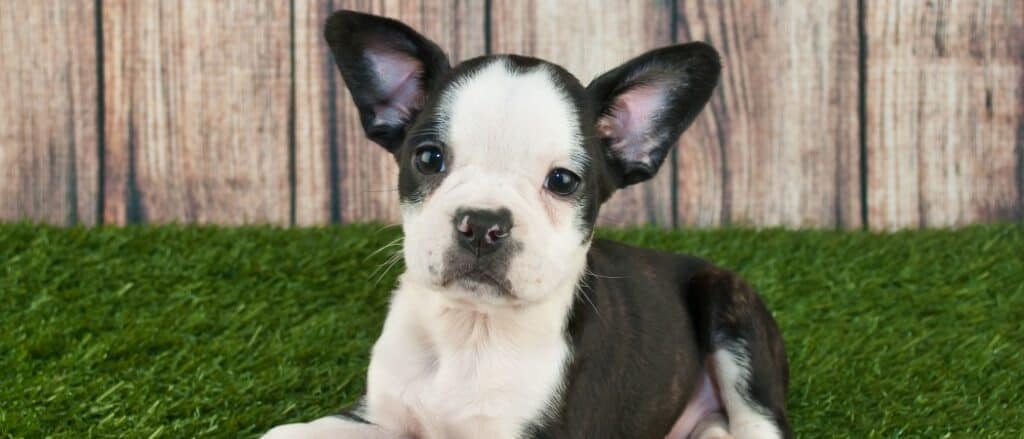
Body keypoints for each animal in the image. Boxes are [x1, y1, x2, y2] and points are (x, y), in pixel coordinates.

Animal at [266, 10, 790, 437]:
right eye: (429, 158)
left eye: (562, 181)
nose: (482, 224)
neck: (471, 330)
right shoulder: (377, 418)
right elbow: (284, 433)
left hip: (730, 308)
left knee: (759, 422)